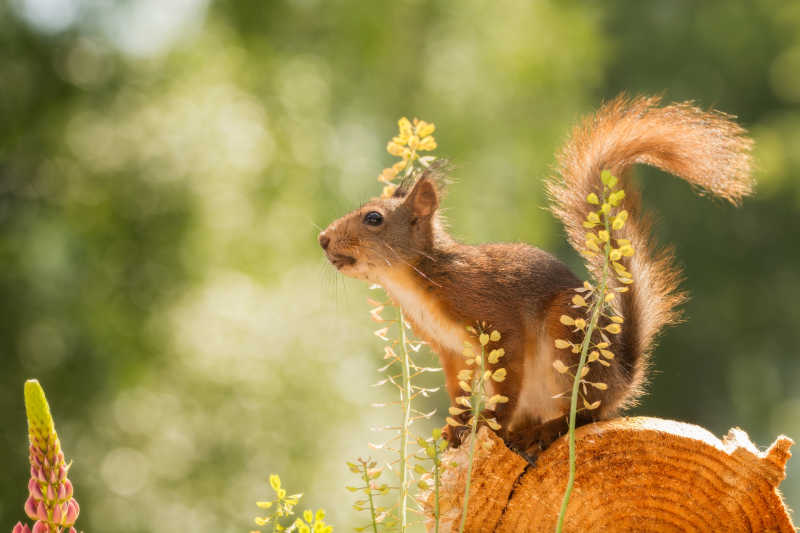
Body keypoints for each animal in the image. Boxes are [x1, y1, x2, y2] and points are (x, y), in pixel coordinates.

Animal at [318, 94, 752, 458]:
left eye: (374, 219)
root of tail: (622, 377)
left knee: (585, 416)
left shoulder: (495, 320)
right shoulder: (451, 350)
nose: (322, 239)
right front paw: (455, 429)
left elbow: (505, 382)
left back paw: (541, 430)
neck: (420, 279)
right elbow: (460, 392)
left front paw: (491, 423)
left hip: (568, 337)